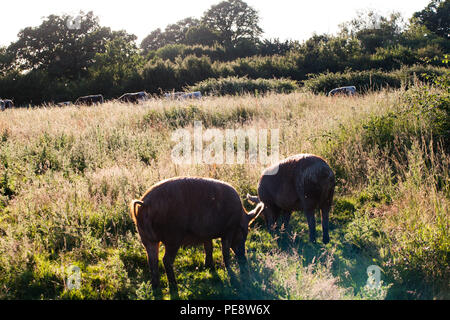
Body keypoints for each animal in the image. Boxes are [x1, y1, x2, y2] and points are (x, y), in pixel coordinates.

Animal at [129, 176, 264, 292]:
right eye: (244, 231)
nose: (244, 259)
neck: (238, 217)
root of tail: (145, 204)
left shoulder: (206, 234)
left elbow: (208, 247)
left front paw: (209, 267)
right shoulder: (228, 230)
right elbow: (225, 253)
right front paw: (232, 279)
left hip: (146, 239)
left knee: (152, 261)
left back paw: (156, 288)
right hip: (173, 236)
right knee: (166, 260)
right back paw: (174, 288)